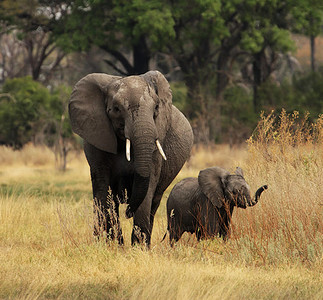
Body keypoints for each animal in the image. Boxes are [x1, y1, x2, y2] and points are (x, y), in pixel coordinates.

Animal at [69, 71, 194, 247]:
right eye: (116, 109)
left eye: (156, 108)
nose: (128, 211)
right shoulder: (97, 141)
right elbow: (103, 189)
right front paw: (111, 245)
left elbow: (148, 183)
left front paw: (138, 248)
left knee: (154, 201)